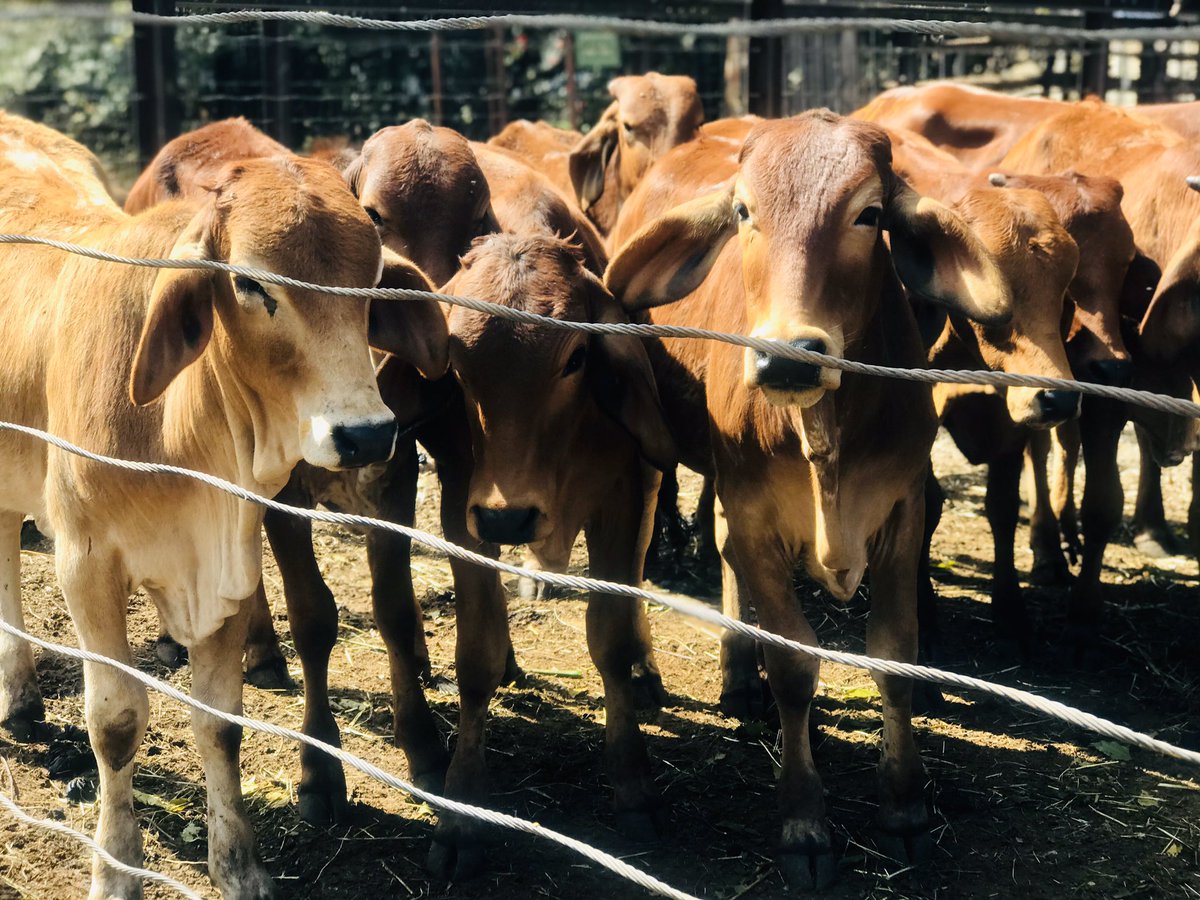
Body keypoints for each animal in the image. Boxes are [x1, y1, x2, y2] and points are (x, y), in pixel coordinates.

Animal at [0, 112, 435, 899]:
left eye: (369, 283)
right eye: (251, 283)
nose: (365, 433)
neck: (175, 433)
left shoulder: (230, 565)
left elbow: (222, 723)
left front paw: (238, 864)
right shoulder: (86, 564)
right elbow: (115, 723)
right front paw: (117, 869)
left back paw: (19, 695)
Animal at [603, 110, 1014, 885]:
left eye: (869, 214)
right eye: (743, 212)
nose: (787, 357)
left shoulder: (902, 513)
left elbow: (895, 655)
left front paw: (905, 808)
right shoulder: (757, 517)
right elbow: (793, 665)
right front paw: (803, 823)